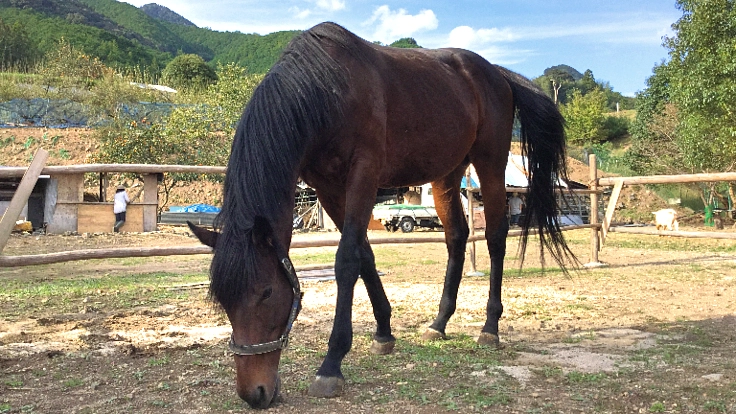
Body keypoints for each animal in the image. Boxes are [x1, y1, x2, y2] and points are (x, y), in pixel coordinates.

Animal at [188, 21, 576, 408]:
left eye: (266, 292)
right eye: (223, 299)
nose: (254, 393)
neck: (325, 91)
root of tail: (498, 74)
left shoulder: (363, 174)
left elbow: (346, 260)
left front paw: (331, 364)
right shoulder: (328, 187)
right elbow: (365, 255)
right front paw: (384, 332)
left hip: (490, 164)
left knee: (495, 237)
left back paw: (489, 328)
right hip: (447, 174)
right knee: (456, 237)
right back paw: (439, 323)